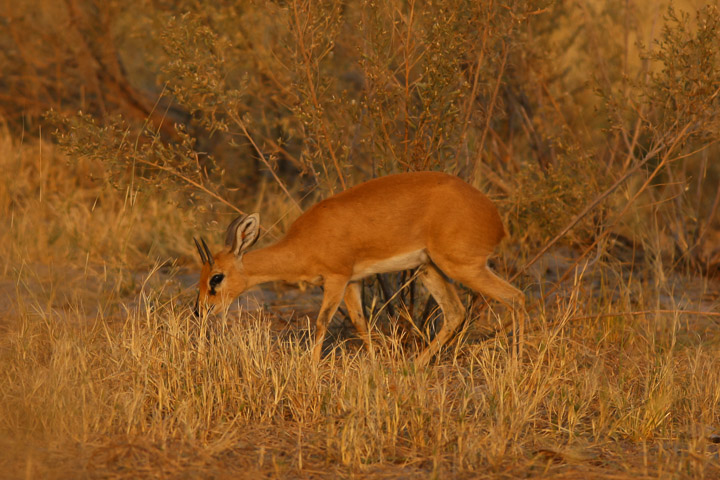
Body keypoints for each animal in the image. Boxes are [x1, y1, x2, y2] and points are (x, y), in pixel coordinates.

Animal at [194, 171, 523, 365]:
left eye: (216, 278)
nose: (200, 311)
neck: (304, 242)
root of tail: (495, 217)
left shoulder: (336, 279)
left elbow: (322, 322)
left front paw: (311, 368)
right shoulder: (353, 281)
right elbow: (360, 321)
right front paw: (375, 364)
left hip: (463, 267)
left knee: (515, 298)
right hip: (430, 269)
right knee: (455, 312)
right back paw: (413, 367)